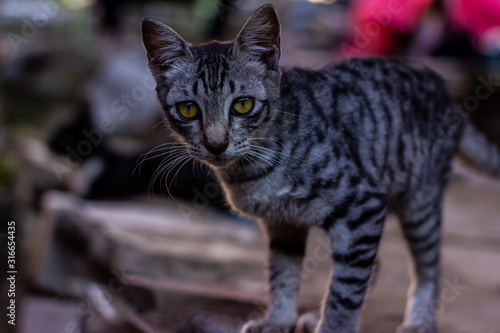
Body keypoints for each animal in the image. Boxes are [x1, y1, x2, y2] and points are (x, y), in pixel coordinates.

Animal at [140, 3, 500, 332]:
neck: (254, 170)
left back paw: (419, 322)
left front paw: (333, 327)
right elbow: (283, 276)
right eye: (188, 109)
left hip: (419, 204)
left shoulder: (364, 203)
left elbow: (345, 292)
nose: (216, 144)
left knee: (428, 266)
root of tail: (445, 91)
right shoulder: (282, 224)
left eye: (242, 105)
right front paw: (278, 320)